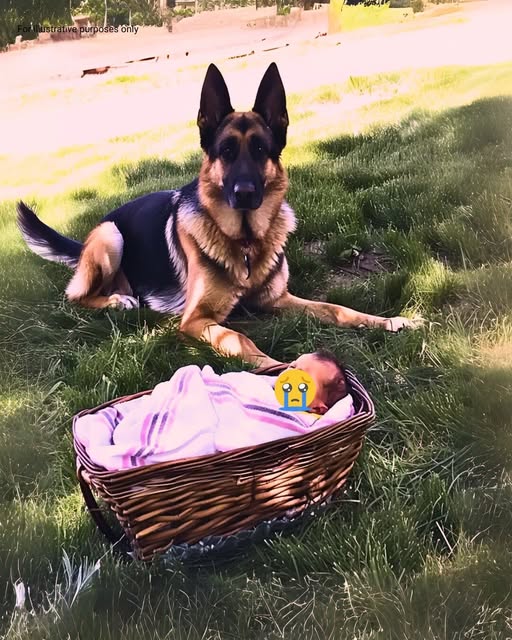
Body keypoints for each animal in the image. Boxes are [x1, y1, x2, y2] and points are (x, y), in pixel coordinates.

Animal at [19, 63, 420, 370]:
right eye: (225, 151)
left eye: (260, 150)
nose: (244, 194)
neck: (243, 241)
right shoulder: (197, 319)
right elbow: (237, 337)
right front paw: (276, 366)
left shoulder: (278, 300)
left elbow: (336, 308)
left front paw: (386, 321)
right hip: (110, 237)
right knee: (76, 297)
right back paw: (117, 301)